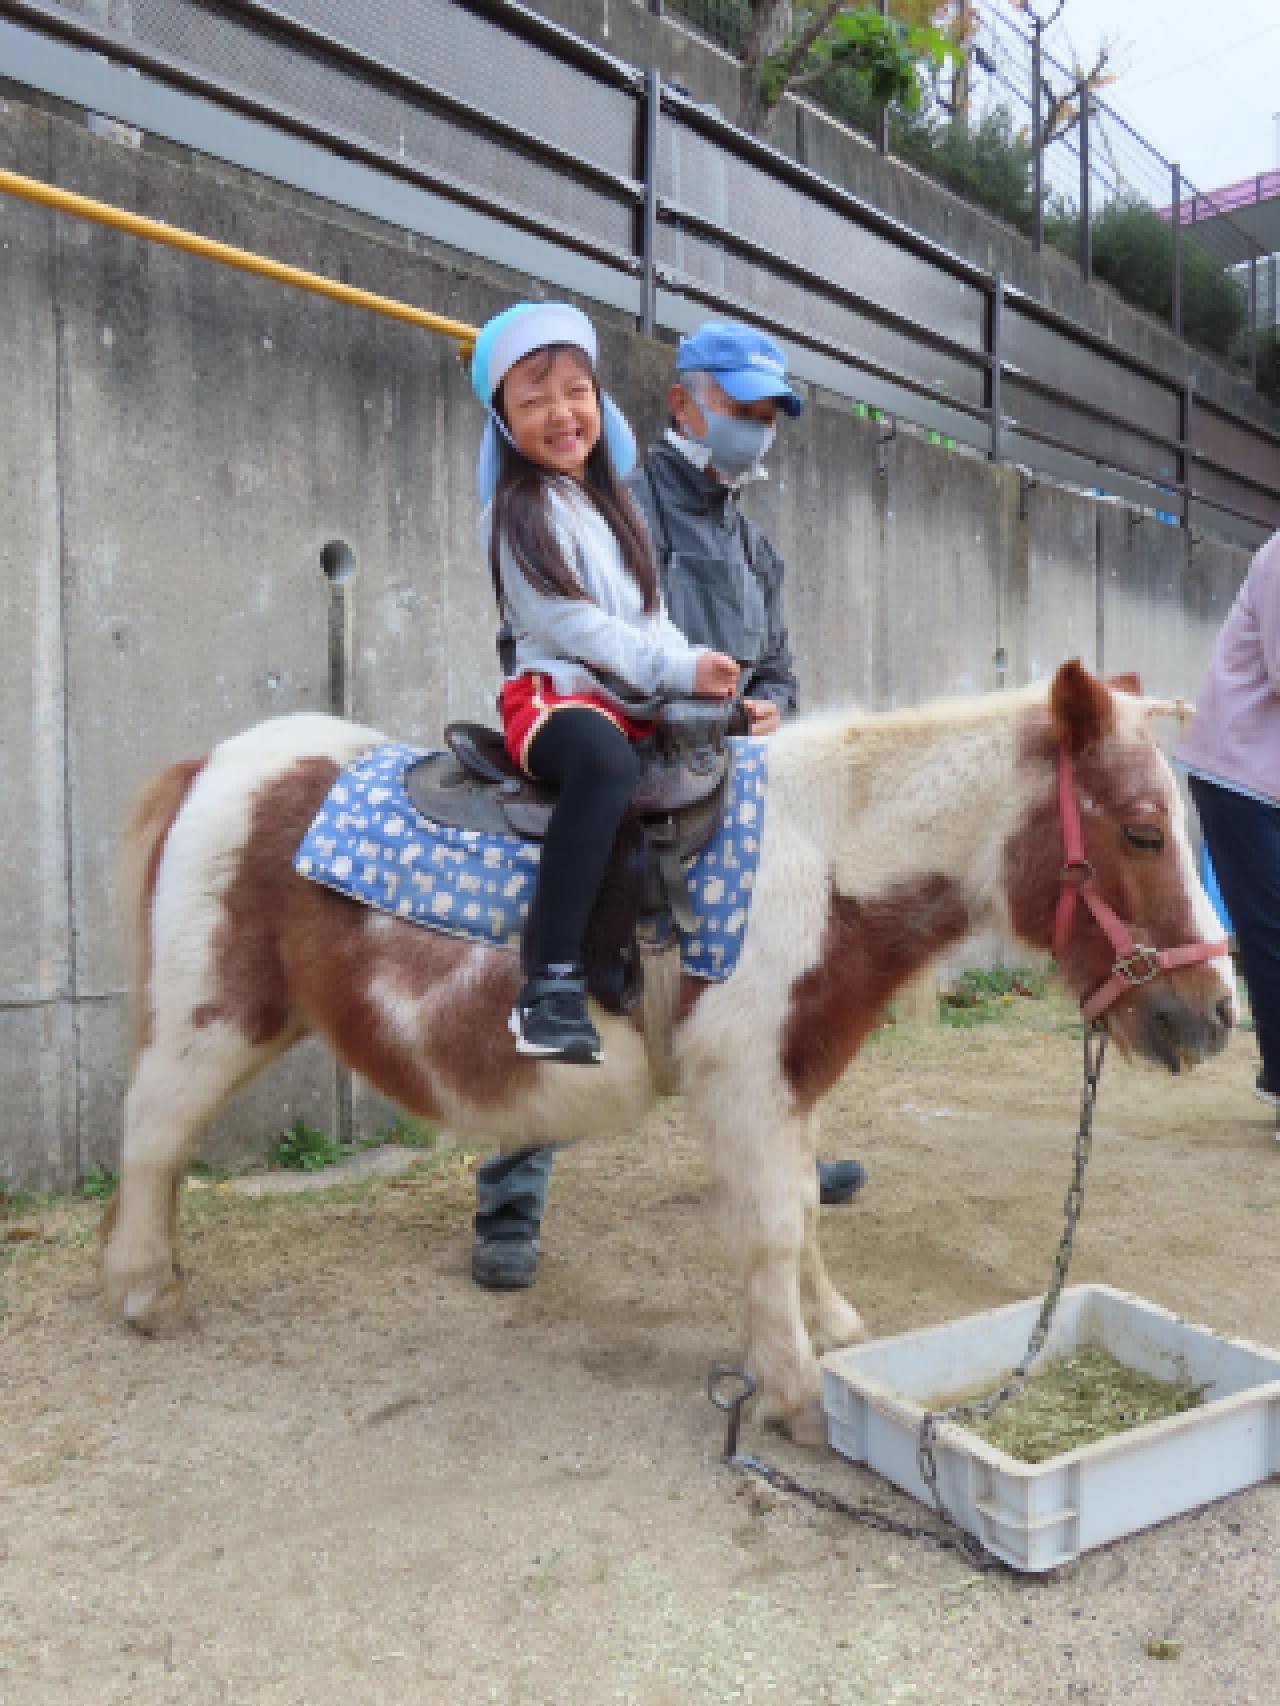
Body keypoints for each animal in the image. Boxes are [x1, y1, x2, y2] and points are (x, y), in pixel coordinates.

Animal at [101, 660, 1234, 1441]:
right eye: (1141, 829)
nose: (1213, 1016)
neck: (823, 860)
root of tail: (211, 767)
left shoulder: (792, 1078)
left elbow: (806, 1208)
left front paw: (831, 1328)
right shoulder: (744, 1086)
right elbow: (770, 1227)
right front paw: (794, 1397)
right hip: (212, 1019)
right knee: (153, 1137)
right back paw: (149, 1295)